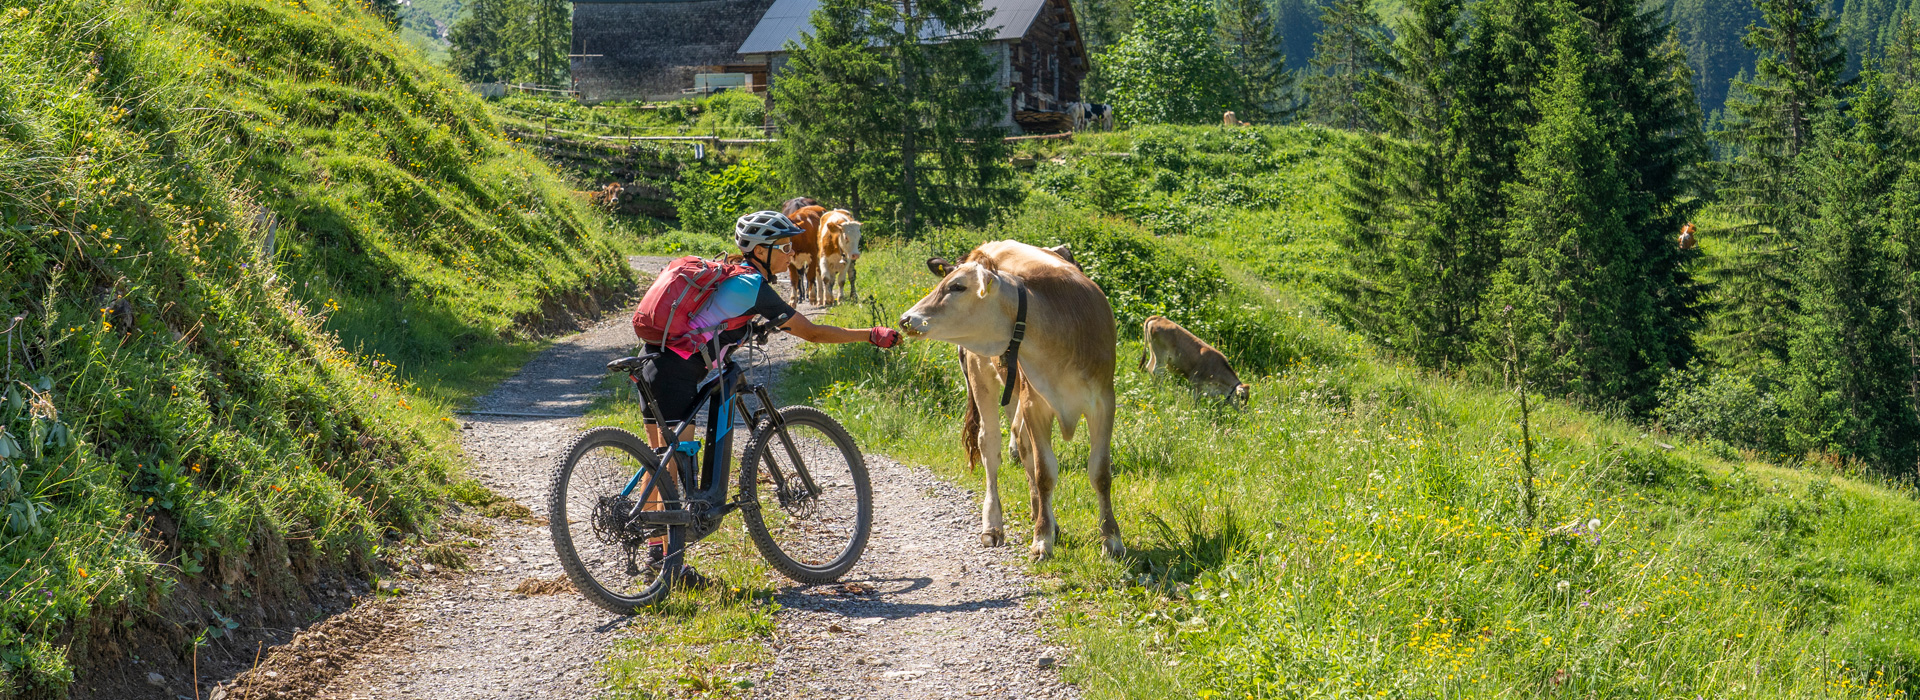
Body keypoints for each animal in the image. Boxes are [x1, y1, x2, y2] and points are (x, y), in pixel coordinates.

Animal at [898, 238, 1121, 556]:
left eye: (957, 286)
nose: (906, 319)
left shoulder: (1103, 402)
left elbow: (1100, 473)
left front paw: (1111, 539)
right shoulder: (1035, 405)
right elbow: (1044, 473)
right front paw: (1042, 540)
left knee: (1023, 444)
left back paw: (1043, 516)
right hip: (982, 378)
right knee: (991, 446)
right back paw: (993, 524)